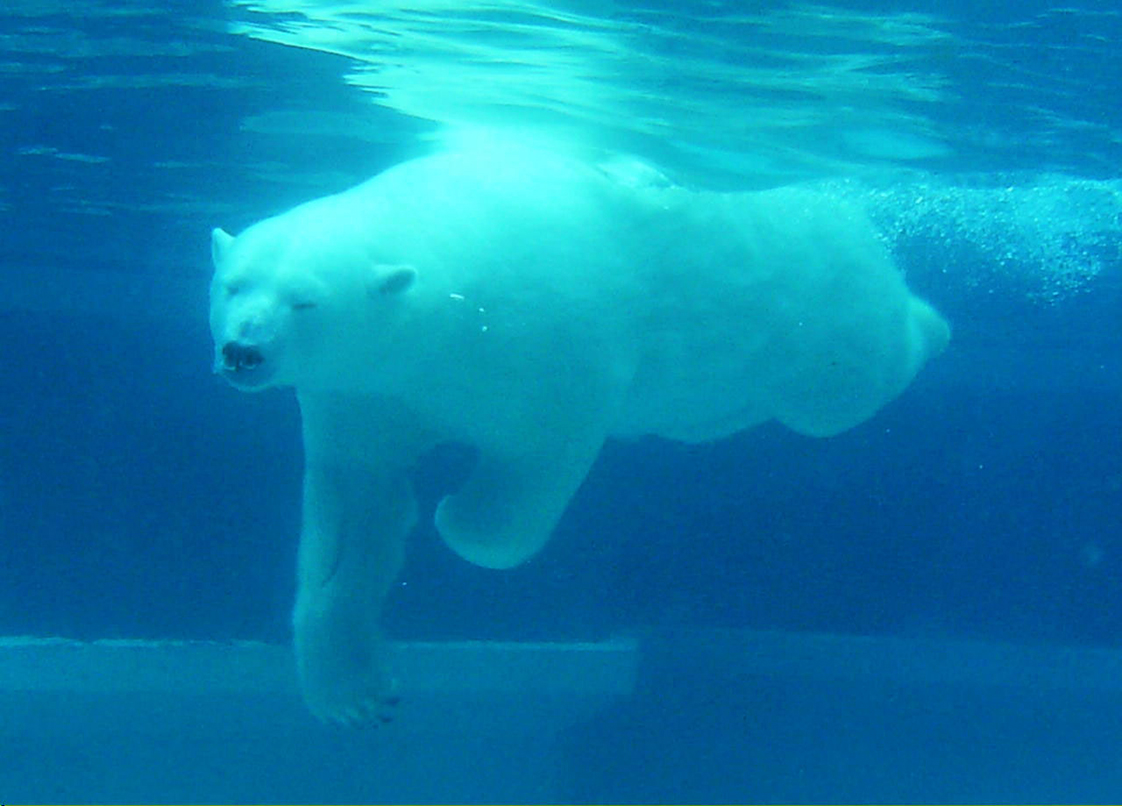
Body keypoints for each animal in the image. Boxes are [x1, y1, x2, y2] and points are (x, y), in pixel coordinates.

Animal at [210, 140, 946, 727]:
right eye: (233, 284)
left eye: (306, 301)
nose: (243, 352)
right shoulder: (364, 394)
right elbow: (357, 517)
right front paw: (355, 693)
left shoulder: (542, 343)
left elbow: (520, 484)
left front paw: (455, 515)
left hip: (819, 315)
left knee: (850, 382)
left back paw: (932, 323)